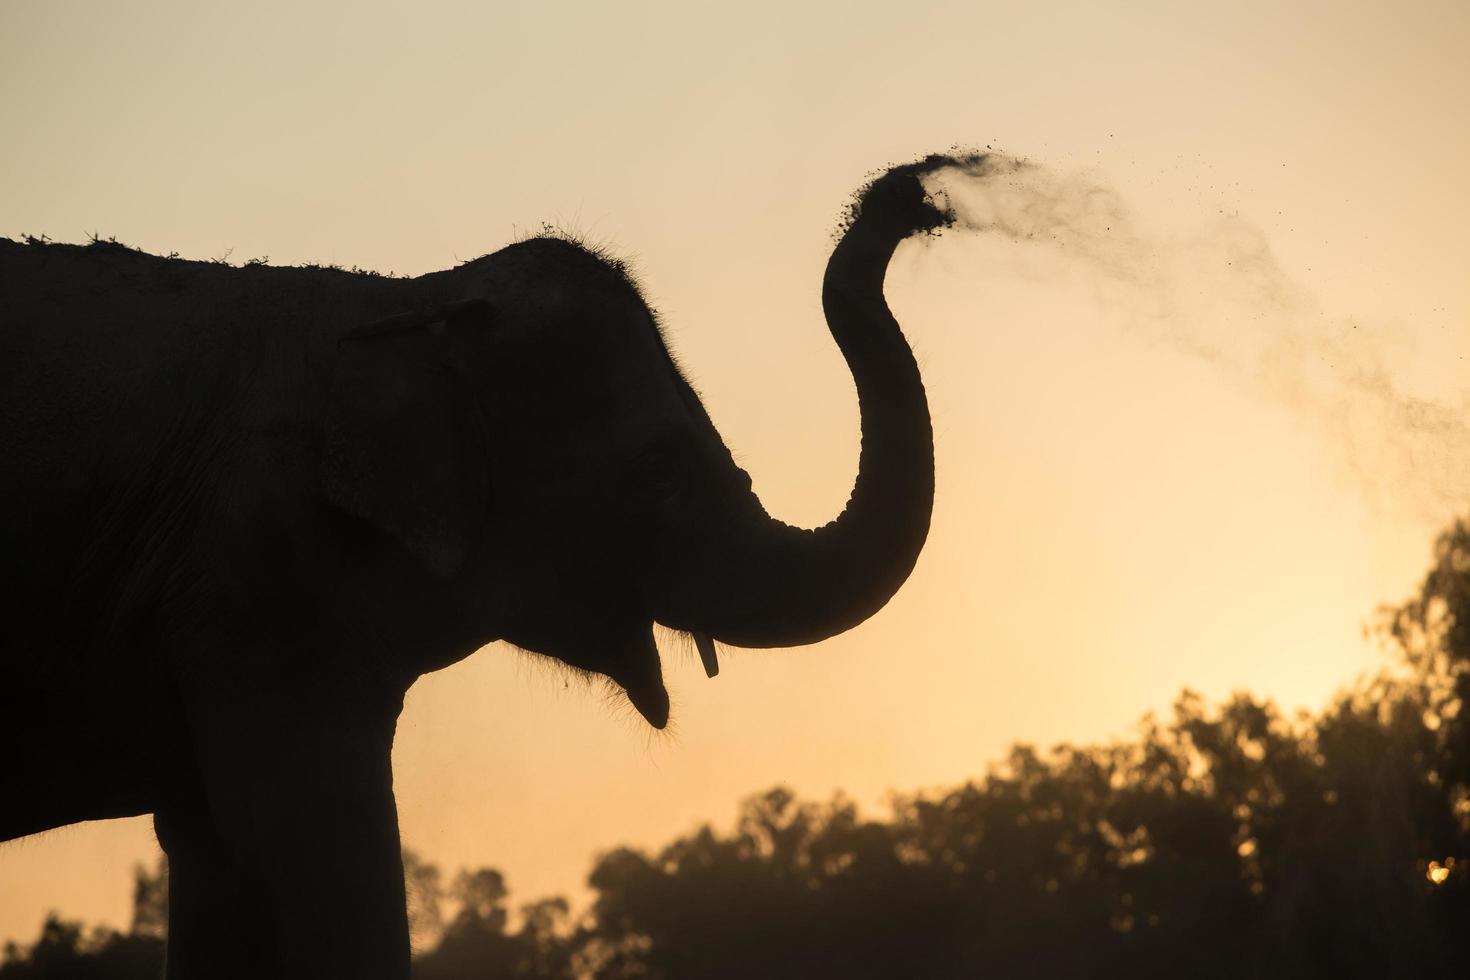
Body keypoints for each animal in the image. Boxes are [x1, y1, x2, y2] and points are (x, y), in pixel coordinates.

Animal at [0, 163, 940, 980]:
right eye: (656, 474)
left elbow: (216, 857)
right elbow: (323, 855)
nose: (914, 195)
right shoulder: (262, 582)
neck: (409, 298)